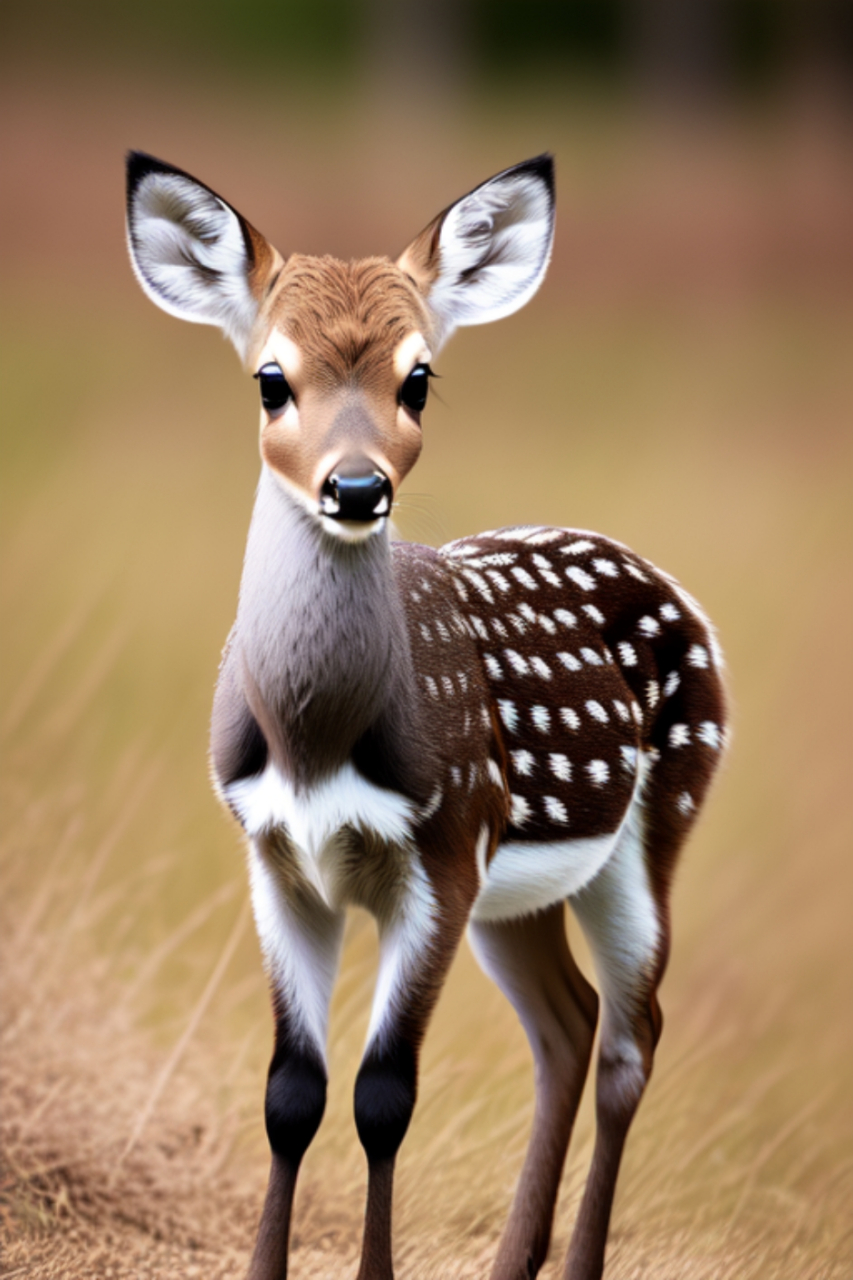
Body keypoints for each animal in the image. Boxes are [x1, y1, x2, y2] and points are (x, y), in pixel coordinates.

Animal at [126, 152, 722, 1280]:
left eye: (417, 378)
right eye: (270, 378)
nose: (356, 488)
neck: (316, 741)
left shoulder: (444, 849)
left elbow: (383, 1095)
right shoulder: (274, 856)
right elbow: (290, 1093)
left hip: (651, 824)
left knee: (631, 1035)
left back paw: (576, 1263)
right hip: (514, 897)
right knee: (568, 1024)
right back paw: (511, 1263)